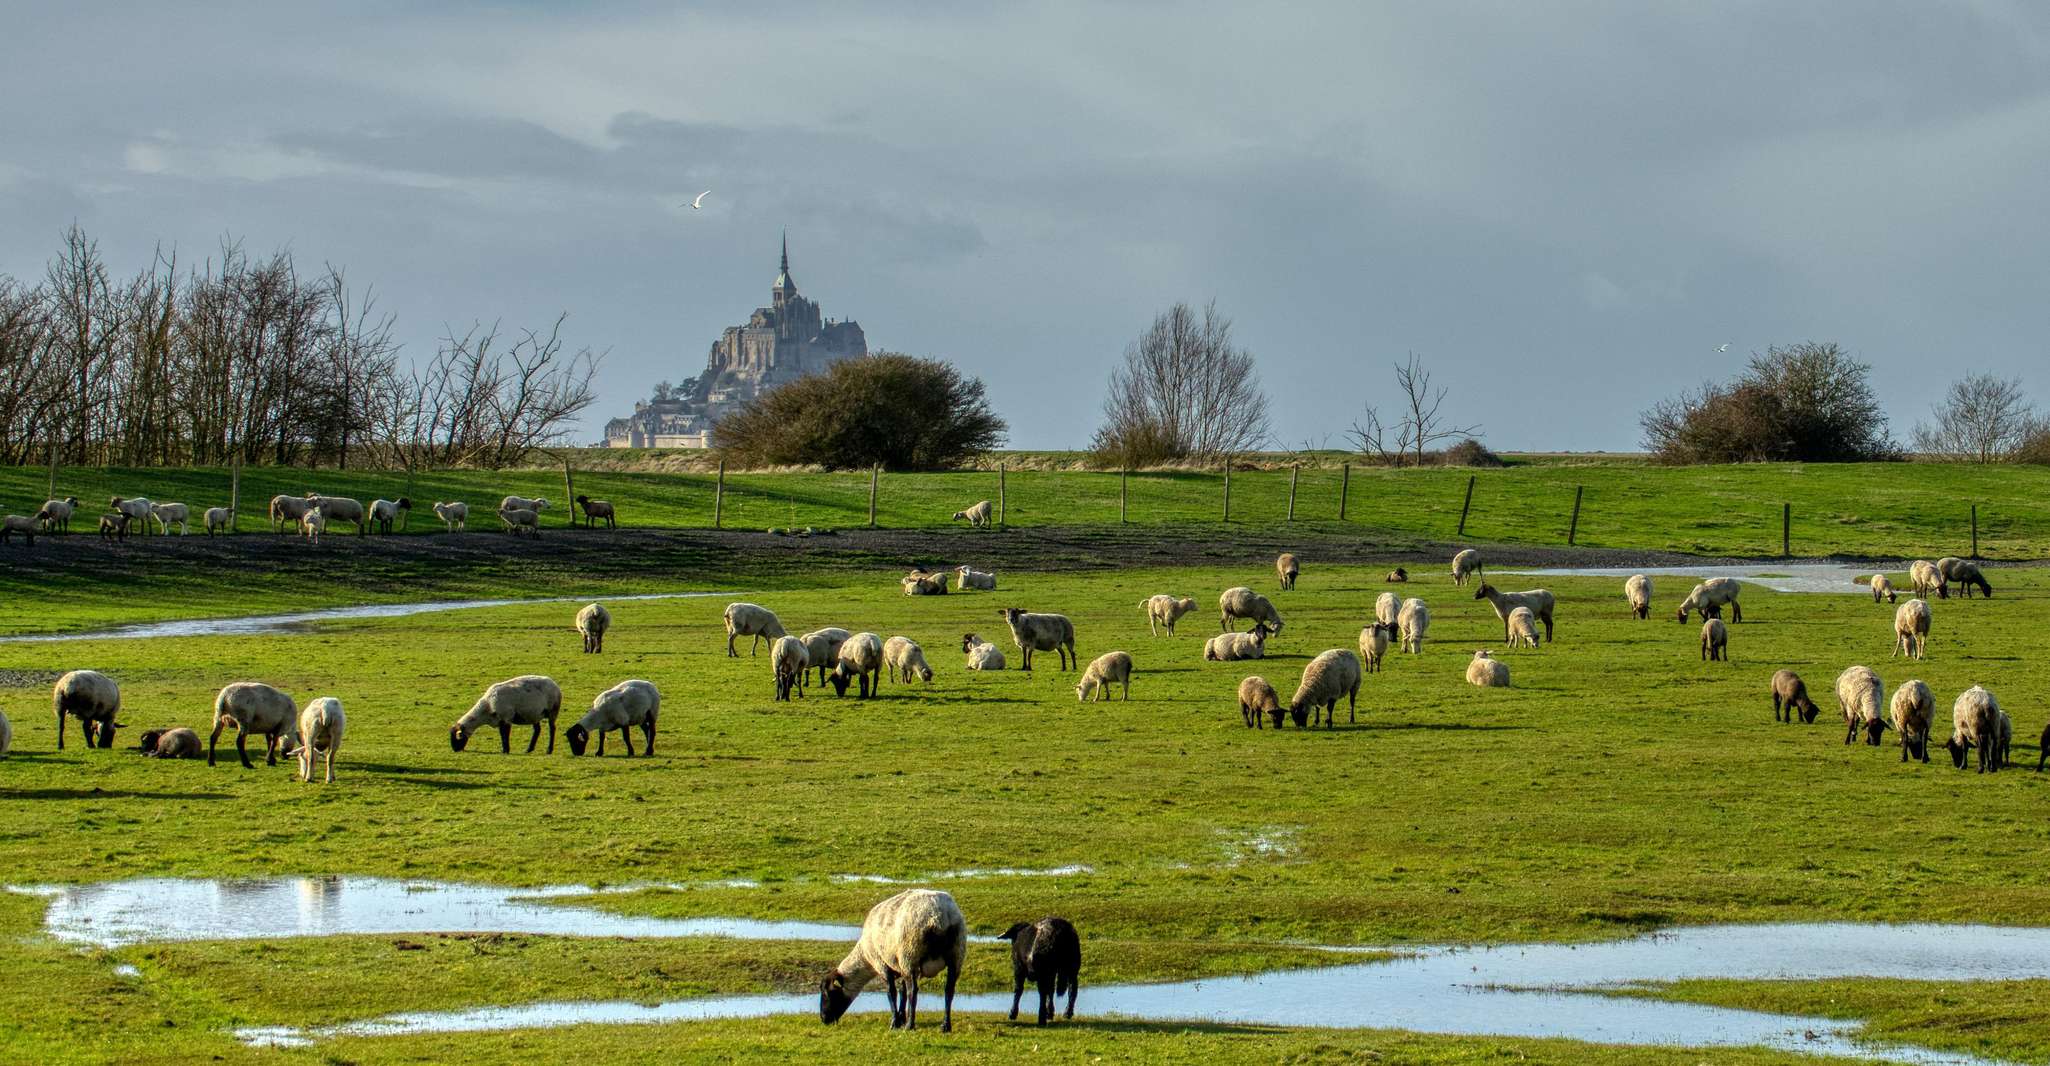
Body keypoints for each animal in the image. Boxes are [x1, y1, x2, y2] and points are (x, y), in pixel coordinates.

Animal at [815, 889, 967, 1033]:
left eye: (827, 992)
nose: (824, 1019)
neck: (865, 955)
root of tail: (939, 915)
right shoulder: (900, 966)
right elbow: (902, 991)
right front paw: (901, 1018)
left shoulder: (882, 964)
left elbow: (891, 992)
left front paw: (895, 1022)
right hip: (956, 954)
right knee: (948, 990)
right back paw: (945, 1026)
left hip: (910, 954)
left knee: (913, 991)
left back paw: (910, 1025)